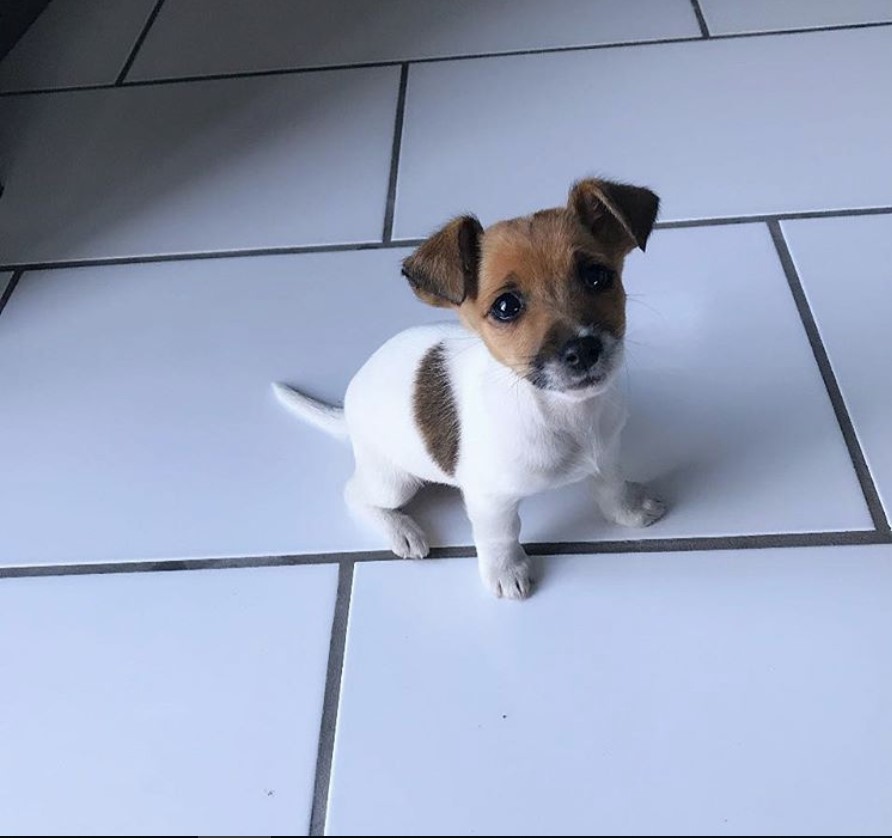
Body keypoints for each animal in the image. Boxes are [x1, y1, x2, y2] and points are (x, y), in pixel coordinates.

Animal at [276, 179, 664, 596]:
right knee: (354, 495)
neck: (561, 412)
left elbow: (612, 487)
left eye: (597, 277)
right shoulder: (489, 500)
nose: (583, 350)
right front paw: (506, 572)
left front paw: (629, 511)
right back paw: (402, 531)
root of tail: (347, 408)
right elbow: (500, 537)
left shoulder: (607, 454)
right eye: (506, 307)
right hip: (392, 481)